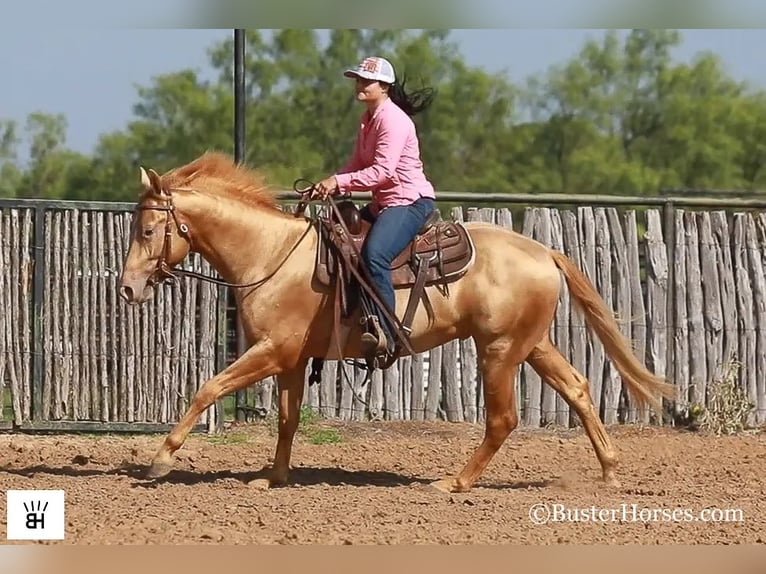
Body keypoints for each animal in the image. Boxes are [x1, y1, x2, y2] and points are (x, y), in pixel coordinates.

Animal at [117, 152, 676, 496]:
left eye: (147, 230)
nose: (126, 289)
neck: (271, 255)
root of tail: (543, 251)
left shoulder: (272, 352)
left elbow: (208, 388)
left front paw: (161, 460)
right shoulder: (292, 359)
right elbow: (287, 418)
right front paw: (274, 477)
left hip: (498, 350)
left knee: (503, 419)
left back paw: (454, 483)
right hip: (531, 344)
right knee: (578, 388)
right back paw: (609, 472)